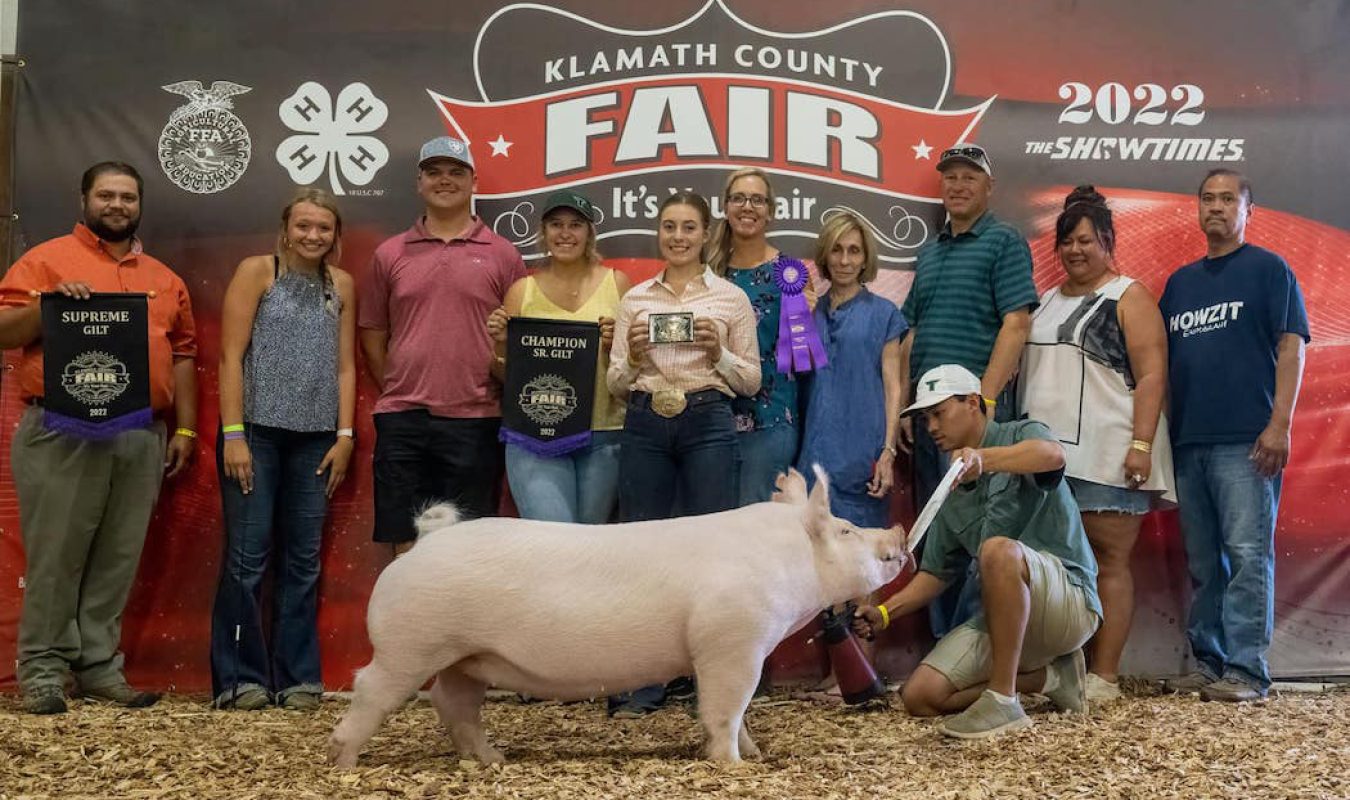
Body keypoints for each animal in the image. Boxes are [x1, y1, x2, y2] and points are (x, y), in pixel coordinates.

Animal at [329, 464, 907, 766]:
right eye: (847, 530)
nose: (898, 534)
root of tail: (429, 539)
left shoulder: (724, 650)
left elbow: (734, 710)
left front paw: (756, 756)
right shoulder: (732, 641)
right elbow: (727, 706)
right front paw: (735, 765)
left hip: (465, 657)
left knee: (453, 703)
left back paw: (493, 760)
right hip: (410, 644)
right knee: (372, 687)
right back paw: (344, 761)